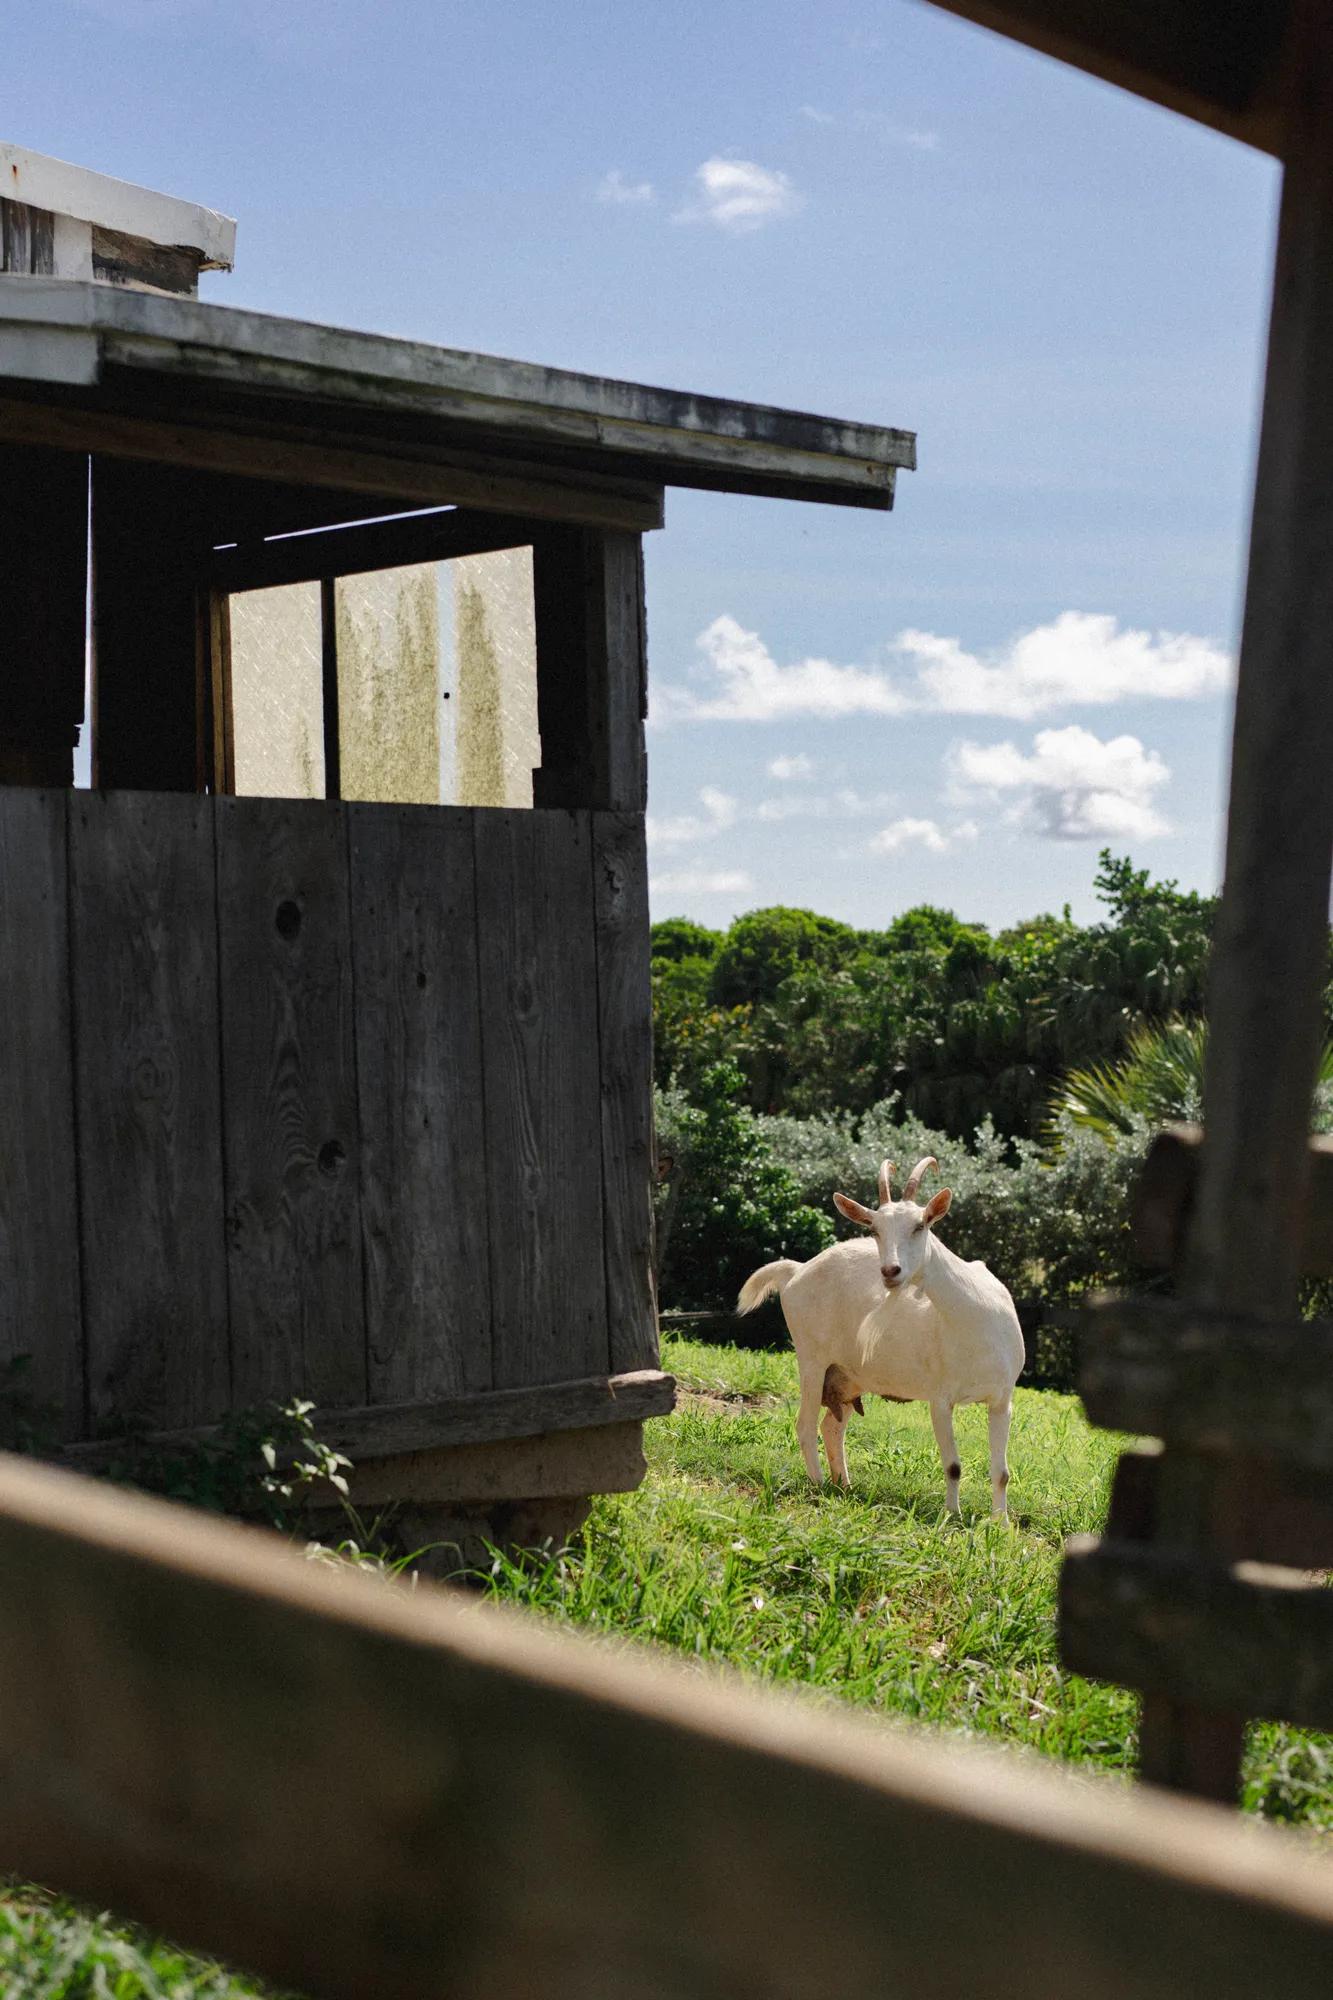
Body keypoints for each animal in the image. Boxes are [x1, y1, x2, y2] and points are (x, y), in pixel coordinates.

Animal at [737, 1157, 1024, 1516]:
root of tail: (796, 1271)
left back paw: (843, 1486)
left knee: (831, 1426)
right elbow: (953, 1466)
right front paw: (952, 1516)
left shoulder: (1002, 1401)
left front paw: (1001, 1522)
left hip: (847, 1376)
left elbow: (1002, 1473)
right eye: (874, 1229)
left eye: (920, 1225)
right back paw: (819, 1485)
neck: (975, 1321)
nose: (890, 1272)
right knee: (805, 1424)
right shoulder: (940, 1400)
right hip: (812, 1360)